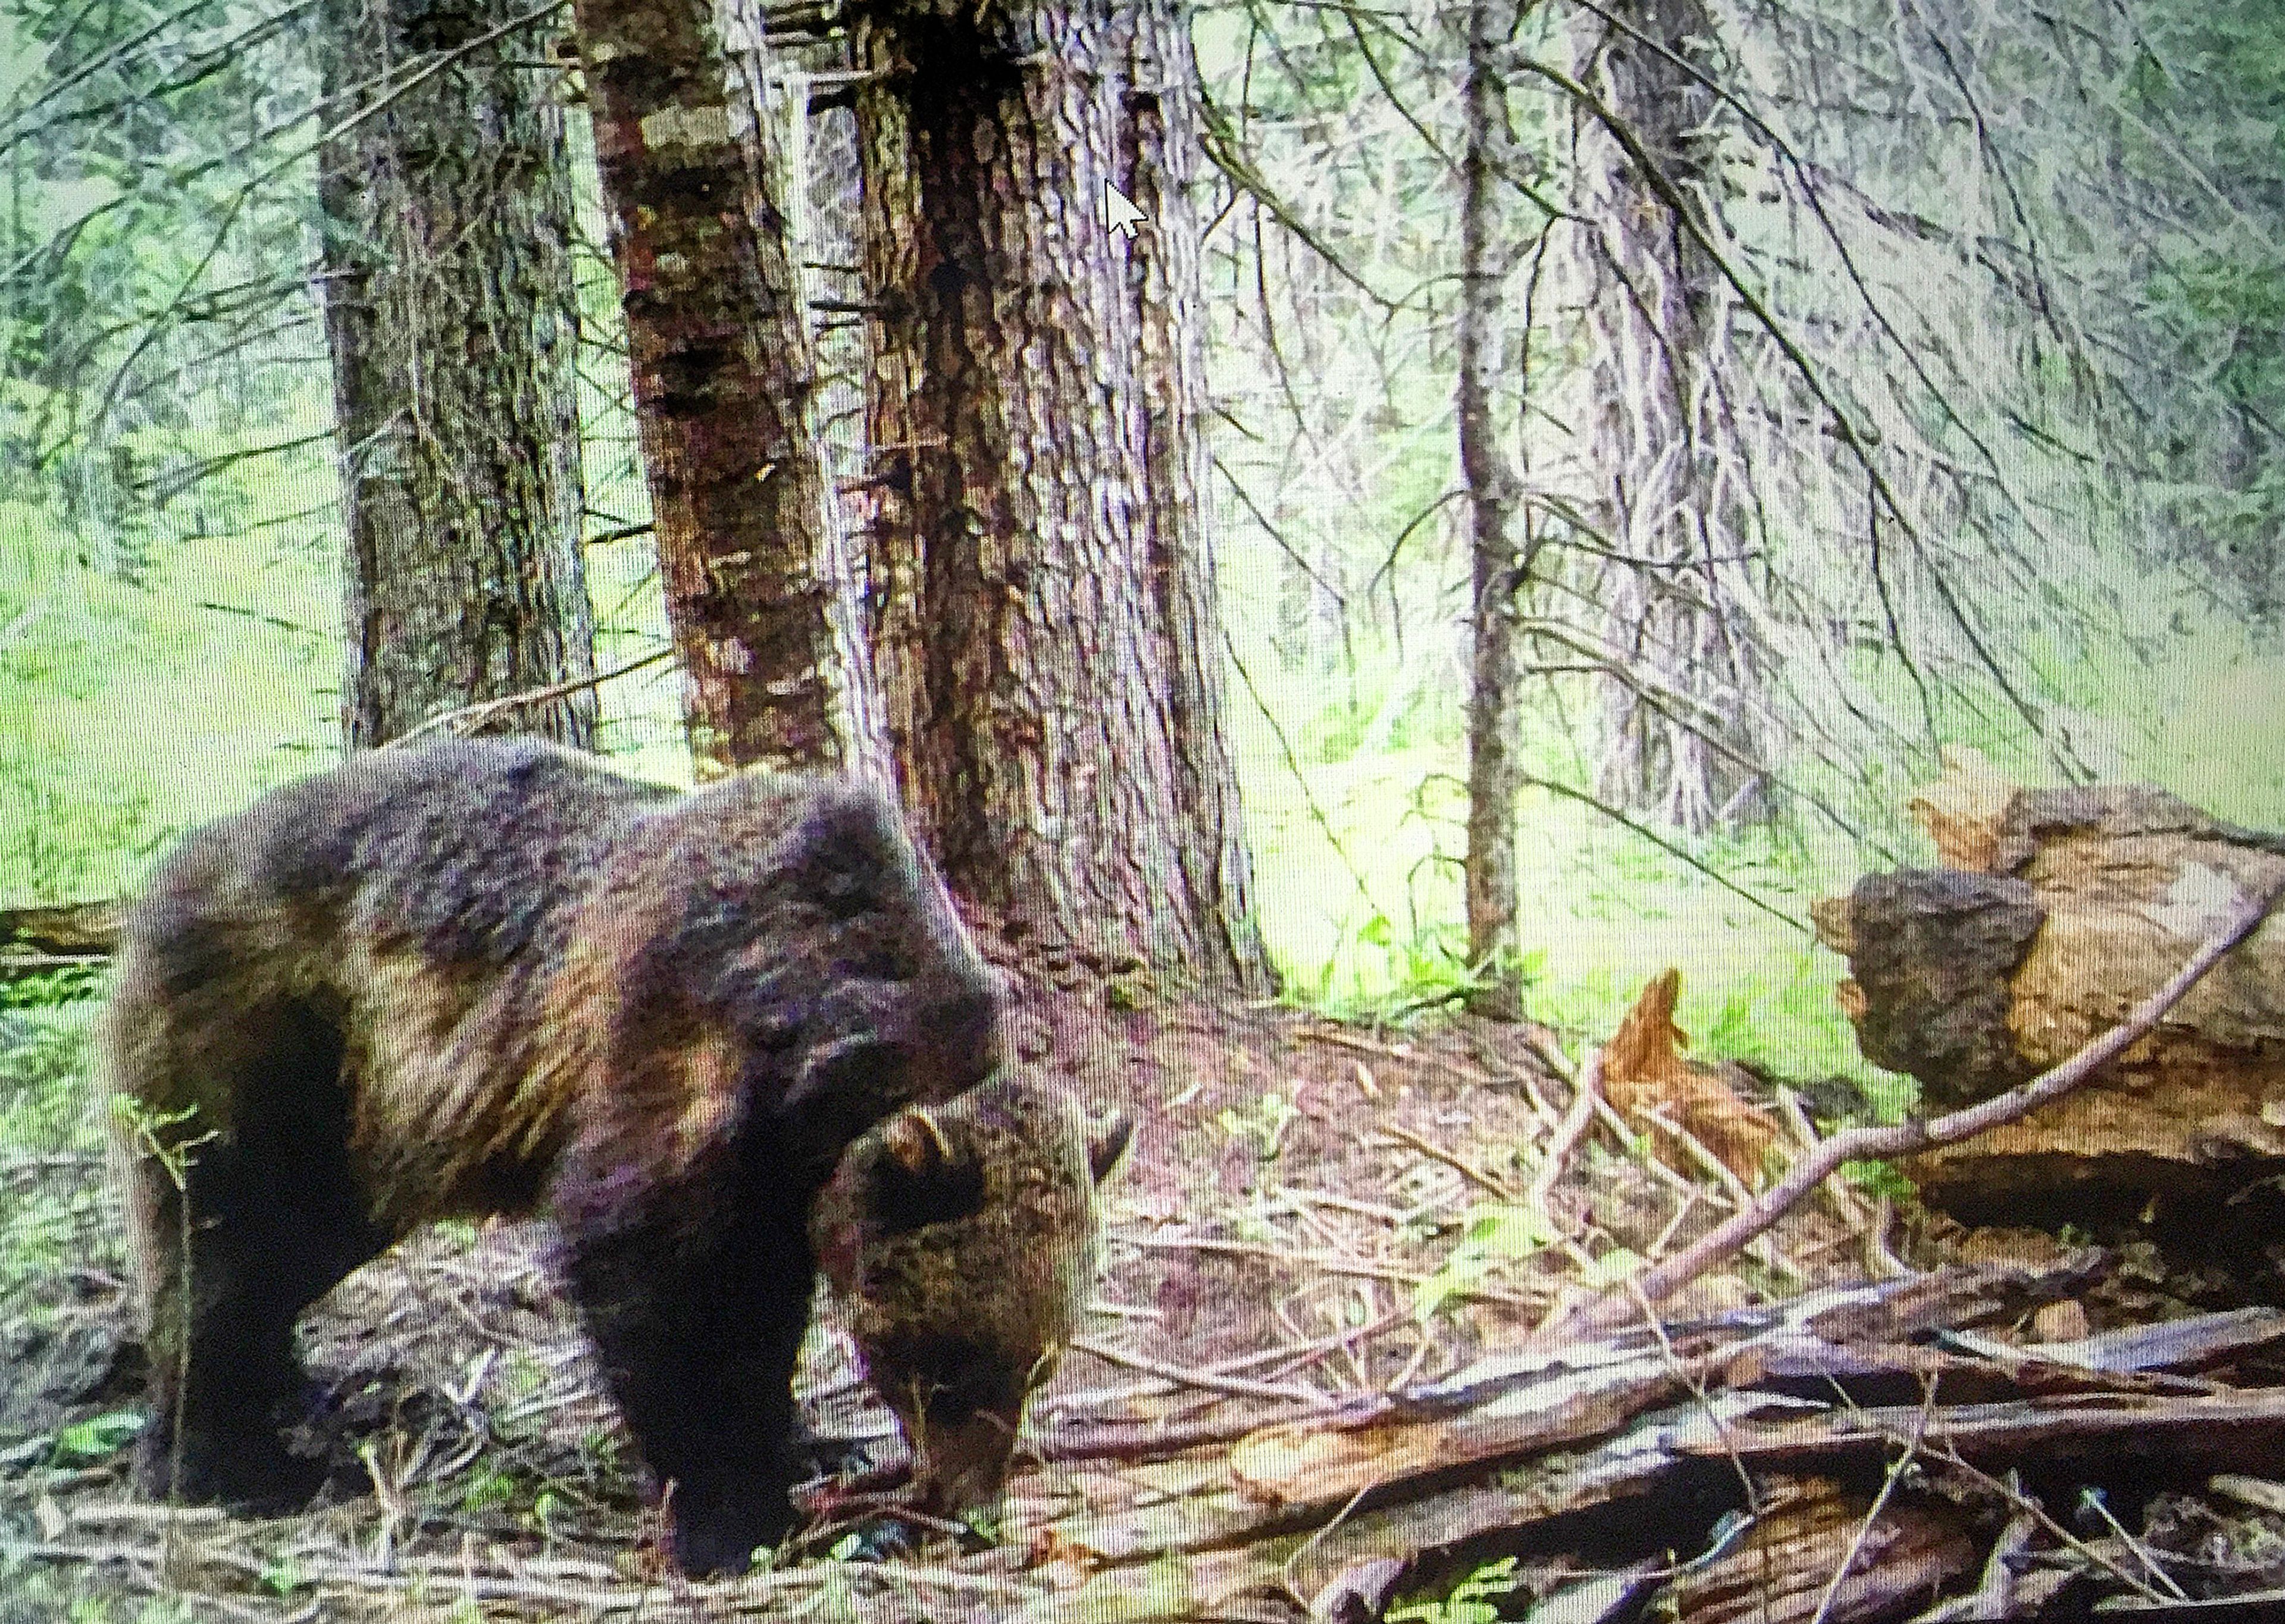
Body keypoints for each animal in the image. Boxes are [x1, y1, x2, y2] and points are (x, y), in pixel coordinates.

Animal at [105, 740, 1000, 1571]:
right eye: (941, 1368)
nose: (970, 1494)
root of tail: (161, 876)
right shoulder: (670, 1052)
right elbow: (655, 1284)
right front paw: (734, 1519)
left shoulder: (775, 1167)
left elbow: (760, 1308)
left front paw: (810, 1447)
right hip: (274, 1051)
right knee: (219, 1248)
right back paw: (223, 1463)